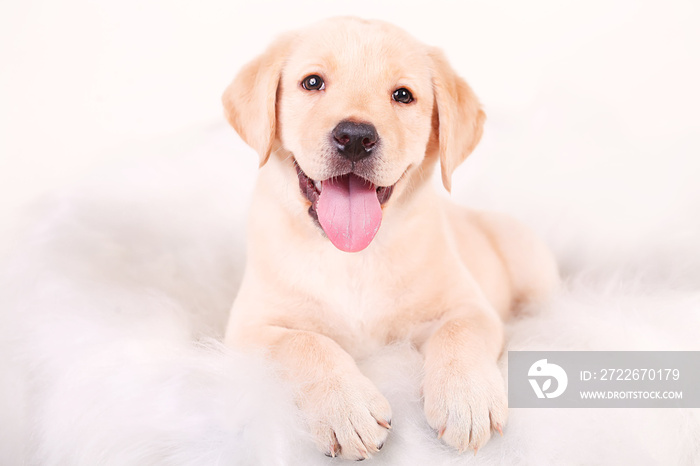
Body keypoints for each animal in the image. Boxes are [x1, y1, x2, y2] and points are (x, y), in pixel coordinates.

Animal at [221, 17, 560, 458]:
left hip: (529, 258)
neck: (351, 255)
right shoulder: (247, 329)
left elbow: (459, 330)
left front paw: (467, 400)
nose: (354, 137)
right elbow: (304, 344)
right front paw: (346, 409)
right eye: (312, 83)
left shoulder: (470, 306)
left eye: (403, 95)